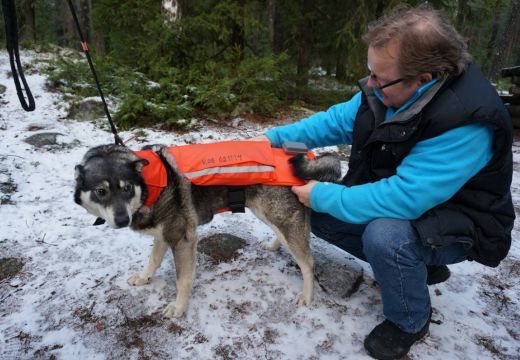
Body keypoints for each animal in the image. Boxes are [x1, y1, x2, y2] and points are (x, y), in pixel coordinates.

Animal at [74, 143, 342, 318]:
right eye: (101, 191)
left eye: (127, 187)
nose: (121, 219)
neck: (151, 182)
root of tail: (308, 157)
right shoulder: (164, 236)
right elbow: (153, 261)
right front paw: (144, 278)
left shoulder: (183, 239)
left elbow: (182, 280)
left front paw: (179, 308)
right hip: (266, 213)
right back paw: (274, 246)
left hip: (281, 219)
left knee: (308, 263)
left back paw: (307, 296)